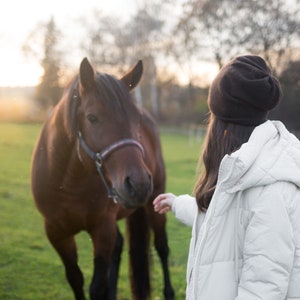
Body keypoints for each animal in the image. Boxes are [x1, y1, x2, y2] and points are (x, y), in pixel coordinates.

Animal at [30, 58, 175, 300]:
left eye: (136, 119)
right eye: (92, 117)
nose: (139, 184)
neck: (68, 182)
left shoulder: (102, 229)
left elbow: (97, 287)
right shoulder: (56, 232)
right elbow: (75, 279)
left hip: (155, 201)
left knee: (162, 246)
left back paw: (169, 292)